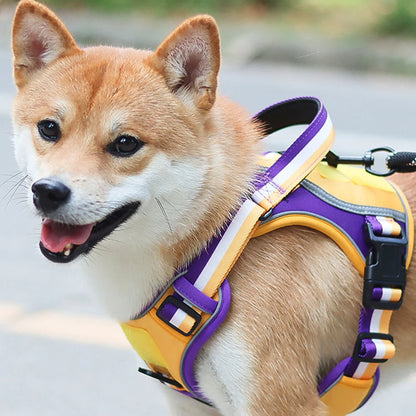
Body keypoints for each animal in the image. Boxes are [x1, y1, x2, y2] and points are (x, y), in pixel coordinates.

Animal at [8, 0, 416, 416]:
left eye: (125, 143)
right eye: (49, 129)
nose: (49, 192)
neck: (225, 240)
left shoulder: (282, 402)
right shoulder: (190, 404)